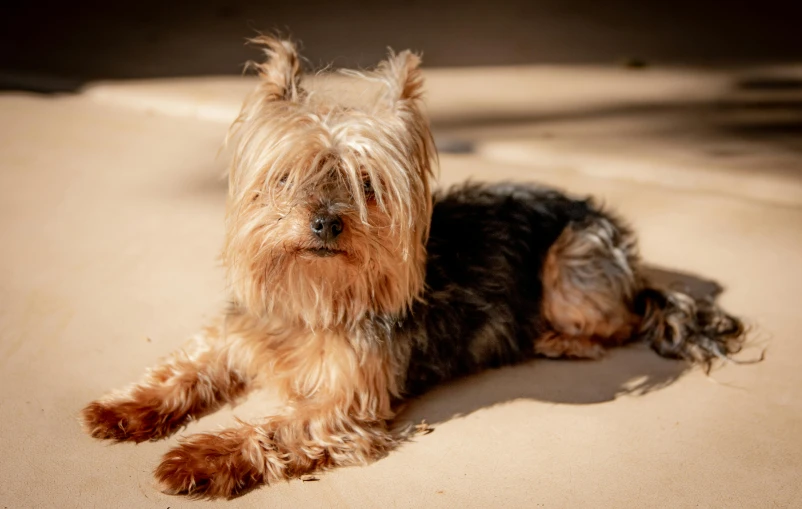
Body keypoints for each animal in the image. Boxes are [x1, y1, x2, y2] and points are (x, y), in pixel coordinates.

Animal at [79, 37, 744, 498]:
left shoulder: (345, 406)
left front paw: (198, 458)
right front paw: (124, 409)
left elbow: (271, 429)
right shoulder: (237, 333)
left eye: (366, 185)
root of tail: (632, 259)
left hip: (573, 259)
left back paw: (558, 338)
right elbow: (185, 366)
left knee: (620, 320)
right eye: (287, 176)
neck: (312, 295)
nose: (325, 223)